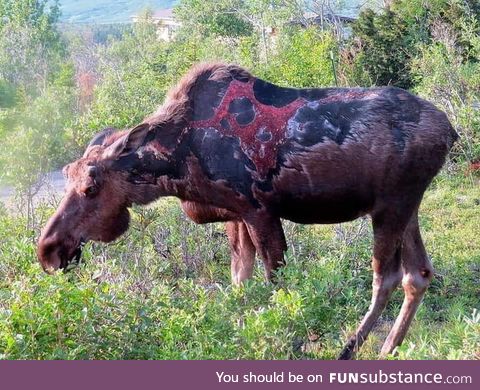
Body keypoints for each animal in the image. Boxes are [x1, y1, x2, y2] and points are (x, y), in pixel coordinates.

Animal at [37, 62, 458, 358]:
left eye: (91, 187)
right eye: (66, 174)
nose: (48, 250)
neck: (176, 161)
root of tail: (451, 131)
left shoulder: (259, 210)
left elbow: (278, 286)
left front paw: (293, 342)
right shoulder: (236, 215)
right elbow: (240, 284)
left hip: (390, 205)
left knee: (386, 277)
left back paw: (349, 350)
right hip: (406, 205)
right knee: (419, 273)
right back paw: (389, 348)